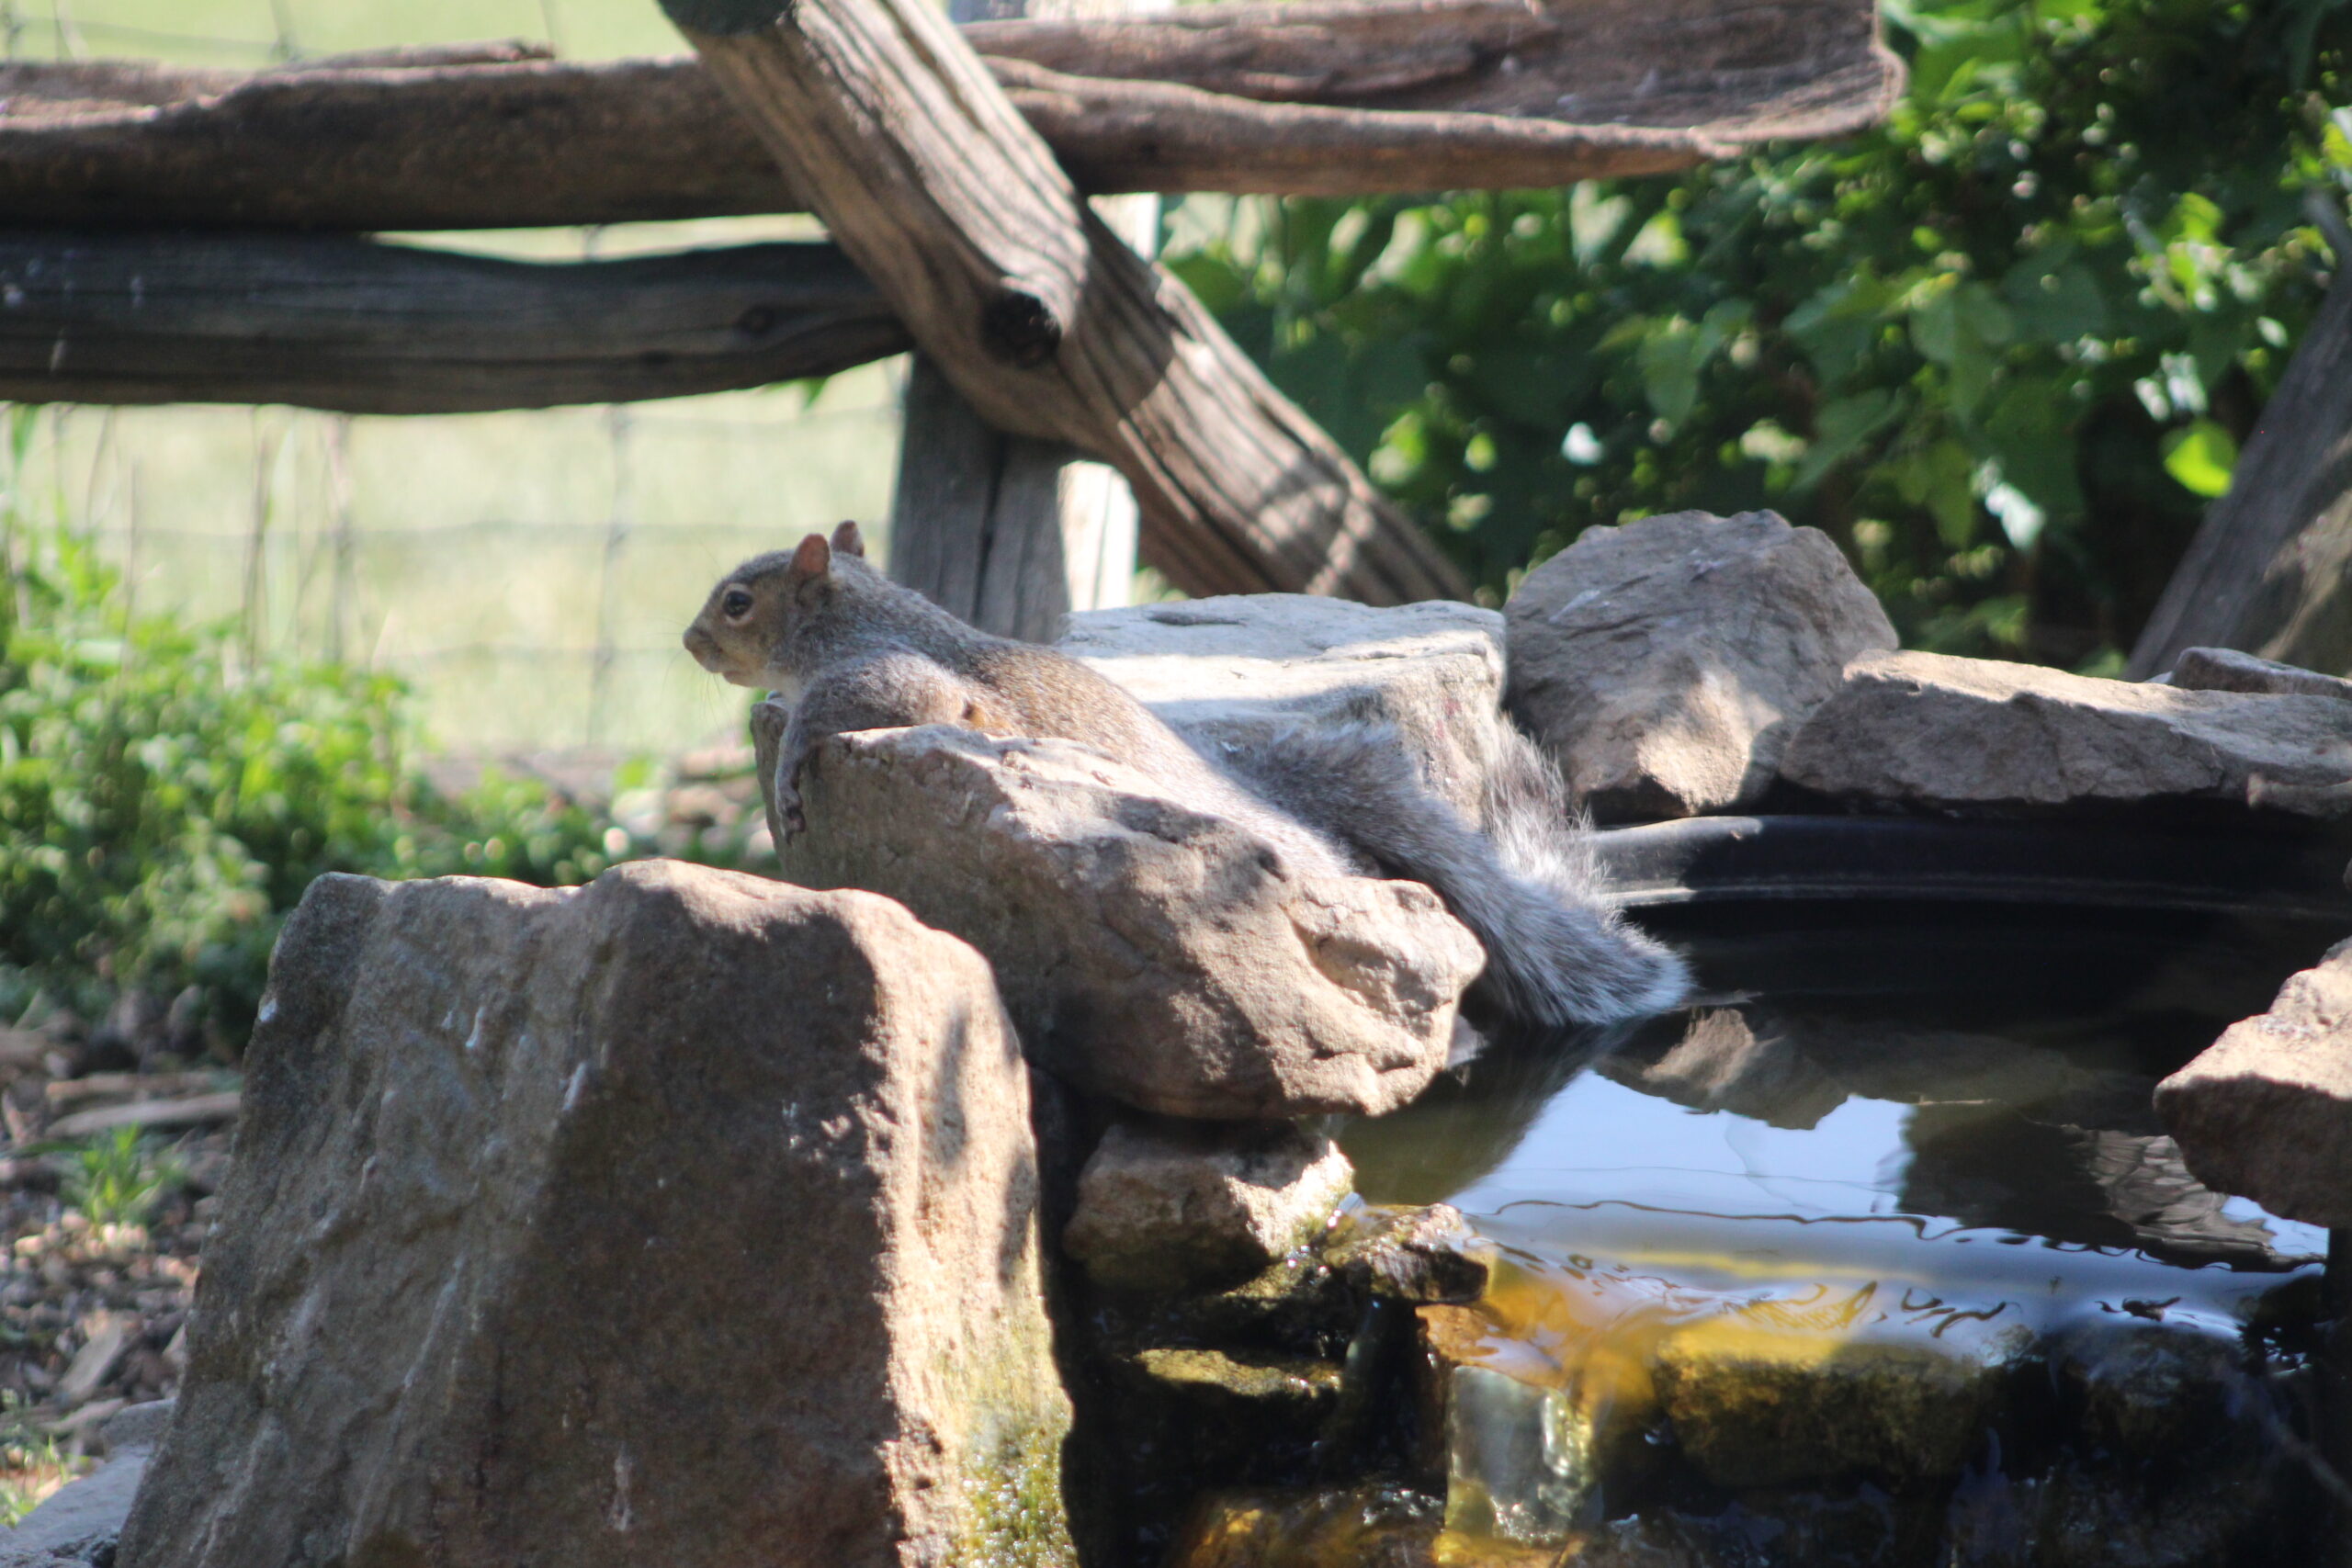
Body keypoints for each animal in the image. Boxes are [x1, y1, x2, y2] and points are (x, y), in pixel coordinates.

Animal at [684, 522, 1690, 1029]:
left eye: (736, 602)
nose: (690, 642)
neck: (855, 616)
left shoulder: (896, 674)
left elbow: (845, 707)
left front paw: (787, 759)